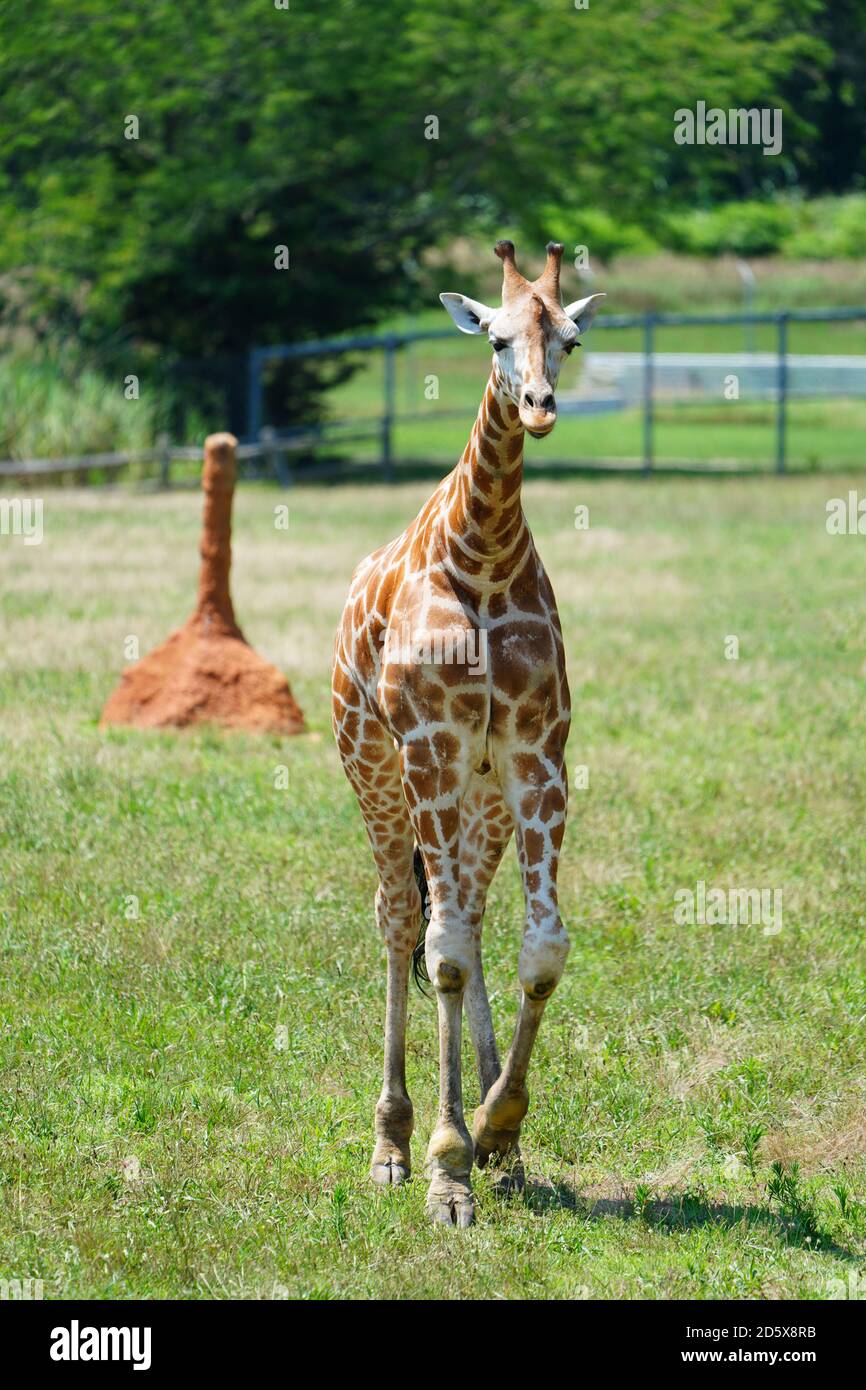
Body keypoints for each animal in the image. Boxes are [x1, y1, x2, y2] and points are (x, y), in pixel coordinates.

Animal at [332, 239, 603, 1228]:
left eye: (567, 339)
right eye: (493, 339)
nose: (539, 407)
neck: (482, 554)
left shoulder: (535, 758)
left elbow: (542, 948)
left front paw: (499, 1125)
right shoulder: (432, 752)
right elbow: (439, 954)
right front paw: (447, 1168)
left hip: (481, 802)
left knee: (475, 920)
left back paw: (499, 1146)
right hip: (376, 774)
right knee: (402, 920)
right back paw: (391, 1146)